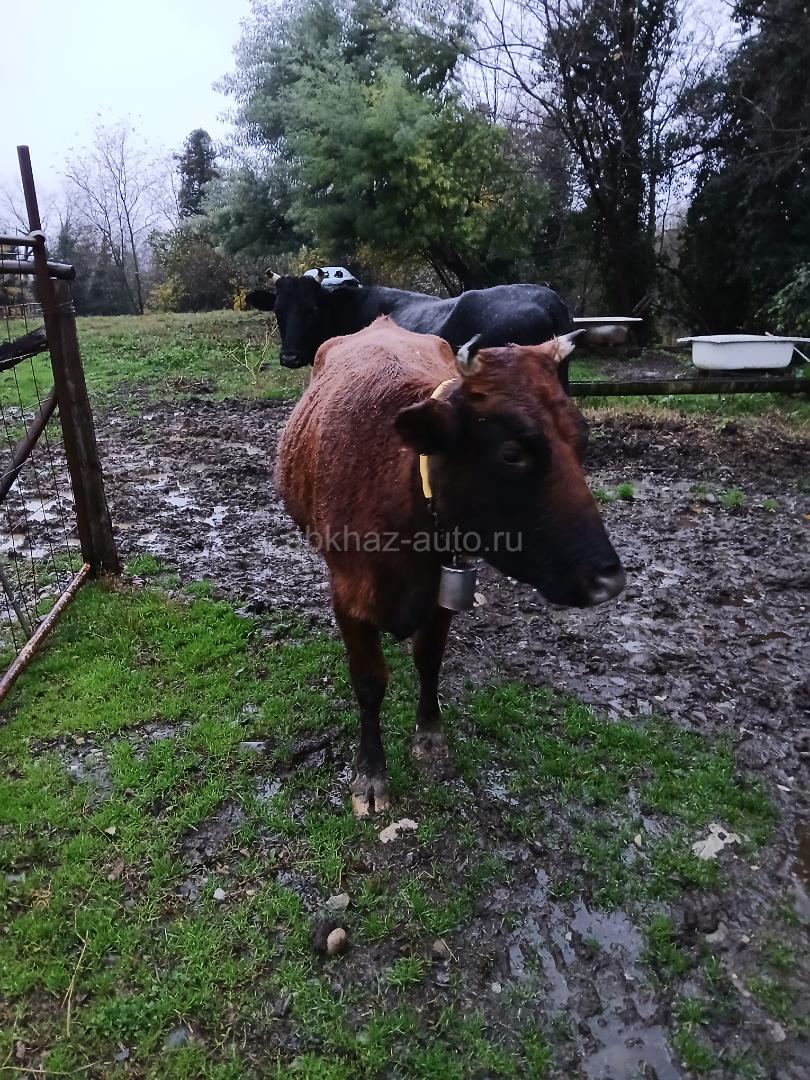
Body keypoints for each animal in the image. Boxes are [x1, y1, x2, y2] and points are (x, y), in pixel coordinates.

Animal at [274, 318, 625, 817]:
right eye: (512, 452)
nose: (608, 580)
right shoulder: (348, 595)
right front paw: (370, 773)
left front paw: (430, 737)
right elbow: (369, 682)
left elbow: (429, 660)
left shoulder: (442, 594)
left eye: (582, 442)